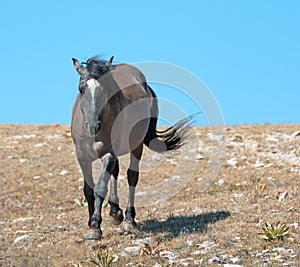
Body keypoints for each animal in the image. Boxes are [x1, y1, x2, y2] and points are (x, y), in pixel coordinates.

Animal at [71, 55, 191, 240]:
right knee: (116, 171)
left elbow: (100, 187)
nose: (93, 126)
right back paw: (115, 212)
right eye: (81, 88)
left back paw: (128, 218)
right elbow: (88, 190)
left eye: (106, 90)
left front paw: (95, 226)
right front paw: (91, 222)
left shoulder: (108, 154)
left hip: (136, 146)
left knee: (132, 176)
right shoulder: (82, 156)